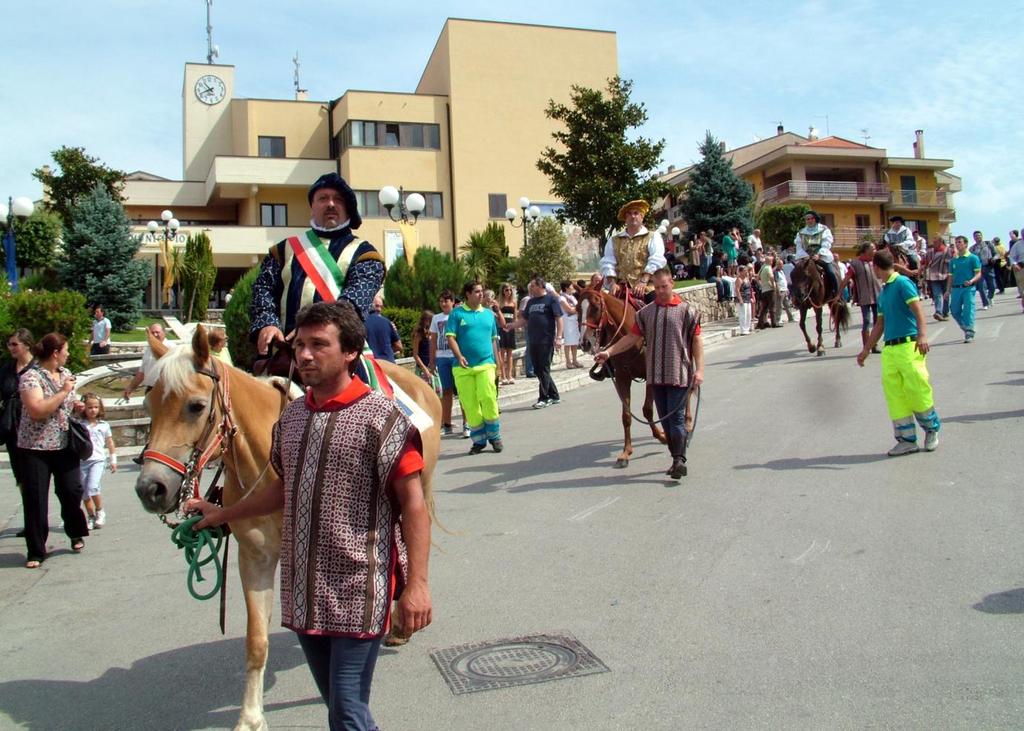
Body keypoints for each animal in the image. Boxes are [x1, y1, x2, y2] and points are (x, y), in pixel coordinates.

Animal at [135, 325, 440, 728]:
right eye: (148, 406)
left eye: (196, 406)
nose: (150, 488)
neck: (264, 455)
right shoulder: (255, 556)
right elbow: (256, 641)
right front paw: (250, 717)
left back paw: (400, 624)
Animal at [581, 286, 667, 464]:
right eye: (578, 308)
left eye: (596, 307)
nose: (585, 343)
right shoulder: (621, 378)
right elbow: (626, 415)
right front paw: (626, 451)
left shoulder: (651, 376)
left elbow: (647, 409)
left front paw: (662, 436)